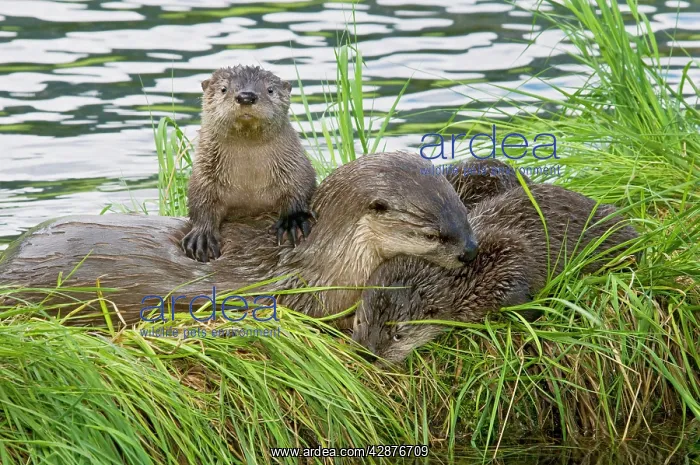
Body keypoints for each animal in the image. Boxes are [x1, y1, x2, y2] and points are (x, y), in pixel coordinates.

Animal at [182, 65, 317, 262]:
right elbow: (200, 203)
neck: (249, 183)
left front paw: (293, 220)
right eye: (223, 89)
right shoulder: (203, 176)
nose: (246, 96)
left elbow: (301, 187)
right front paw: (202, 237)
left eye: (270, 90)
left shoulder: (296, 167)